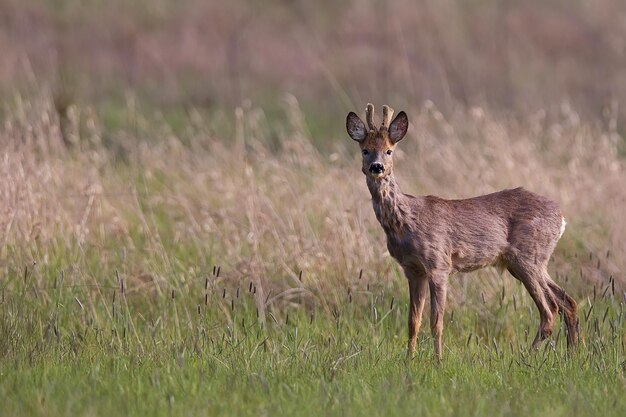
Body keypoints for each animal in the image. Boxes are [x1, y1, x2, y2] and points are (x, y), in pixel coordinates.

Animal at [344, 103, 576, 360]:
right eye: (365, 150)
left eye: (389, 151)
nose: (377, 167)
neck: (405, 221)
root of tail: (561, 218)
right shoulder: (413, 270)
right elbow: (413, 321)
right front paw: (408, 360)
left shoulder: (439, 264)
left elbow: (436, 321)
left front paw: (437, 361)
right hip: (526, 262)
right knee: (568, 301)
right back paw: (573, 354)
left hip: (528, 257)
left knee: (550, 310)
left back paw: (527, 357)